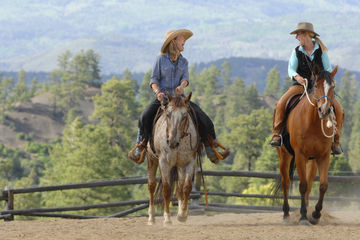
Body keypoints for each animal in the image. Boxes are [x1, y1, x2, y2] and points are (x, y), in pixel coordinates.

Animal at [147, 91, 202, 226]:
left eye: (184, 116)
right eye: (168, 114)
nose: (172, 142)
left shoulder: (189, 162)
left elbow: (186, 188)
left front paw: (182, 215)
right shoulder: (164, 163)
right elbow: (167, 190)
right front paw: (167, 219)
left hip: (180, 166)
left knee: (180, 189)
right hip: (151, 159)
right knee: (151, 186)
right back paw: (151, 218)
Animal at [274, 64, 338, 226]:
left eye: (333, 86)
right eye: (315, 86)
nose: (324, 110)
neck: (313, 122)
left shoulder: (323, 155)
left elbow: (322, 185)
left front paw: (315, 215)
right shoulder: (300, 155)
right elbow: (302, 186)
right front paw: (303, 217)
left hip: (312, 161)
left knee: (309, 185)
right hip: (284, 156)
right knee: (285, 182)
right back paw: (286, 215)